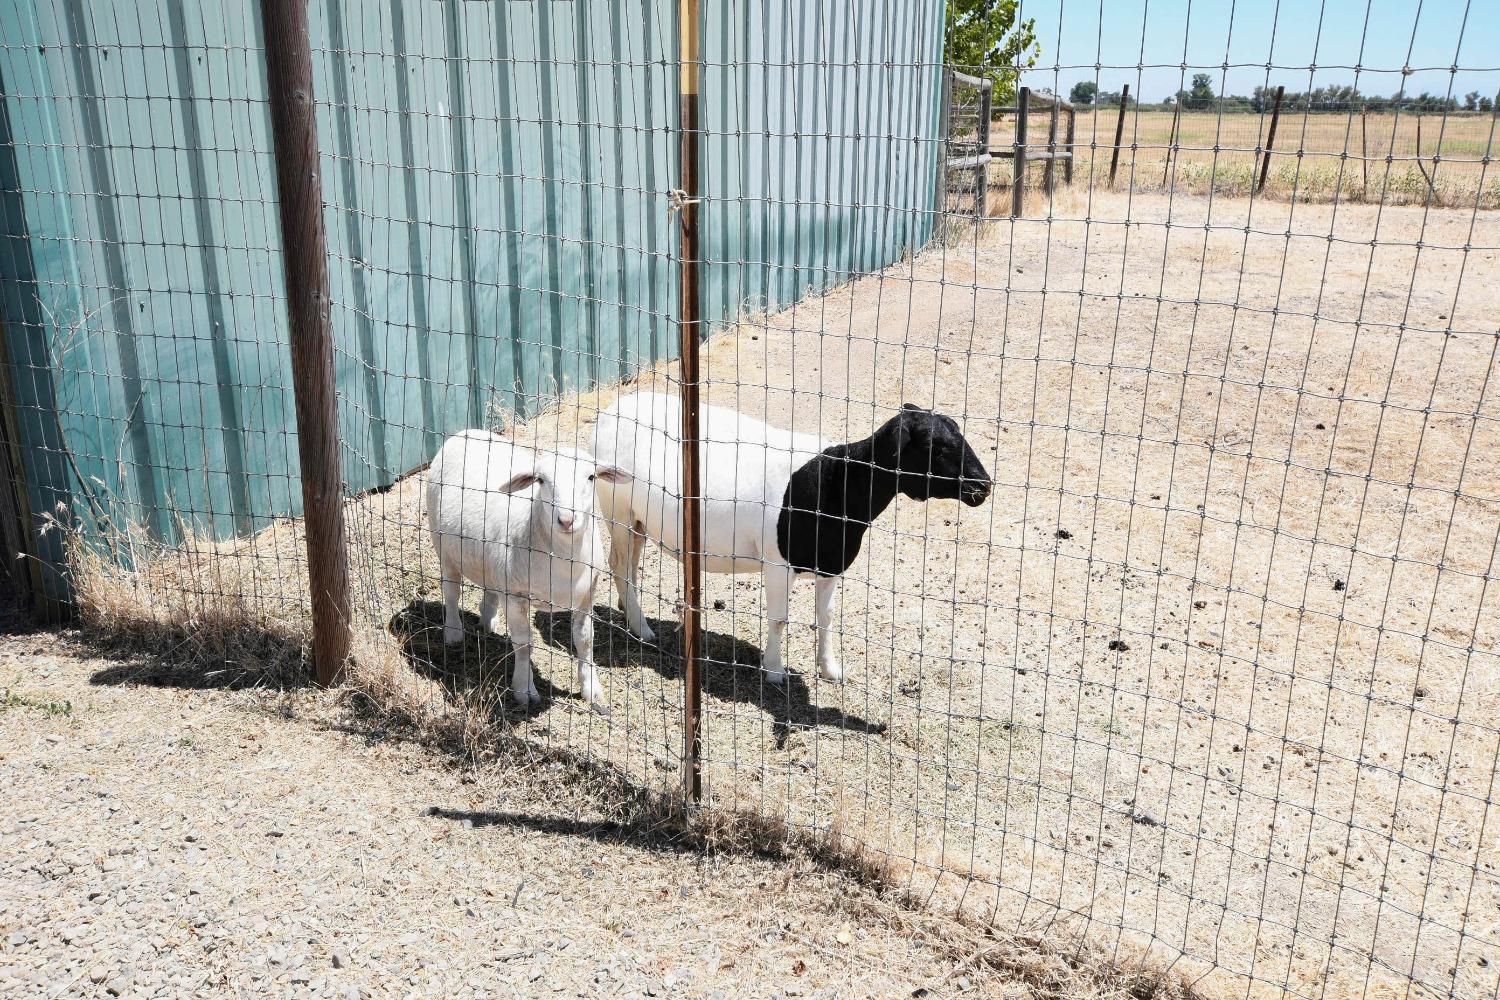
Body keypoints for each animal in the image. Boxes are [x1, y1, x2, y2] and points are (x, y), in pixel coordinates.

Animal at [429, 431, 627, 710]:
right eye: (541, 480)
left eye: (591, 477)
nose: (566, 520)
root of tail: (465, 433)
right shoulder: (515, 596)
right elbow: (524, 645)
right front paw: (524, 689)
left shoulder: (587, 594)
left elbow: (585, 640)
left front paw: (591, 688)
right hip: (443, 547)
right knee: (451, 592)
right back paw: (454, 632)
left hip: (490, 561)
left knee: (488, 587)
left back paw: (488, 619)